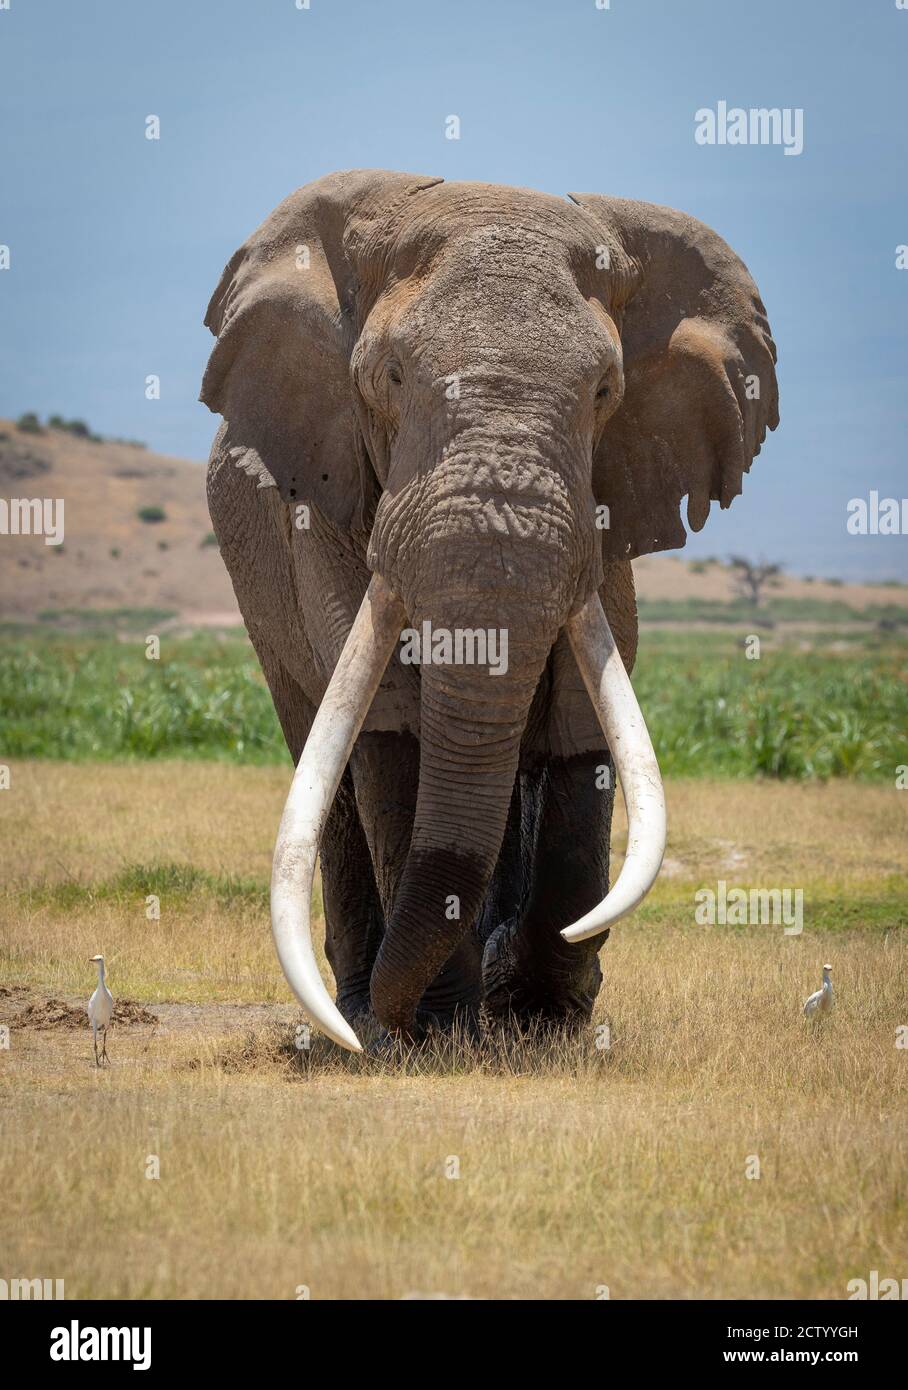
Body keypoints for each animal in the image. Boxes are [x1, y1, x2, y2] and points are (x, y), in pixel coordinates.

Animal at [200, 168, 778, 1045]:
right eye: (390, 378)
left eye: (606, 391)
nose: (406, 1020)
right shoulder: (329, 502)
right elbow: (392, 721)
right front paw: (432, 1033)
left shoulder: (606, 512)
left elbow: (581, 721)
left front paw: (542, 1019)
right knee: (325, 754)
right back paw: (362, 1008)